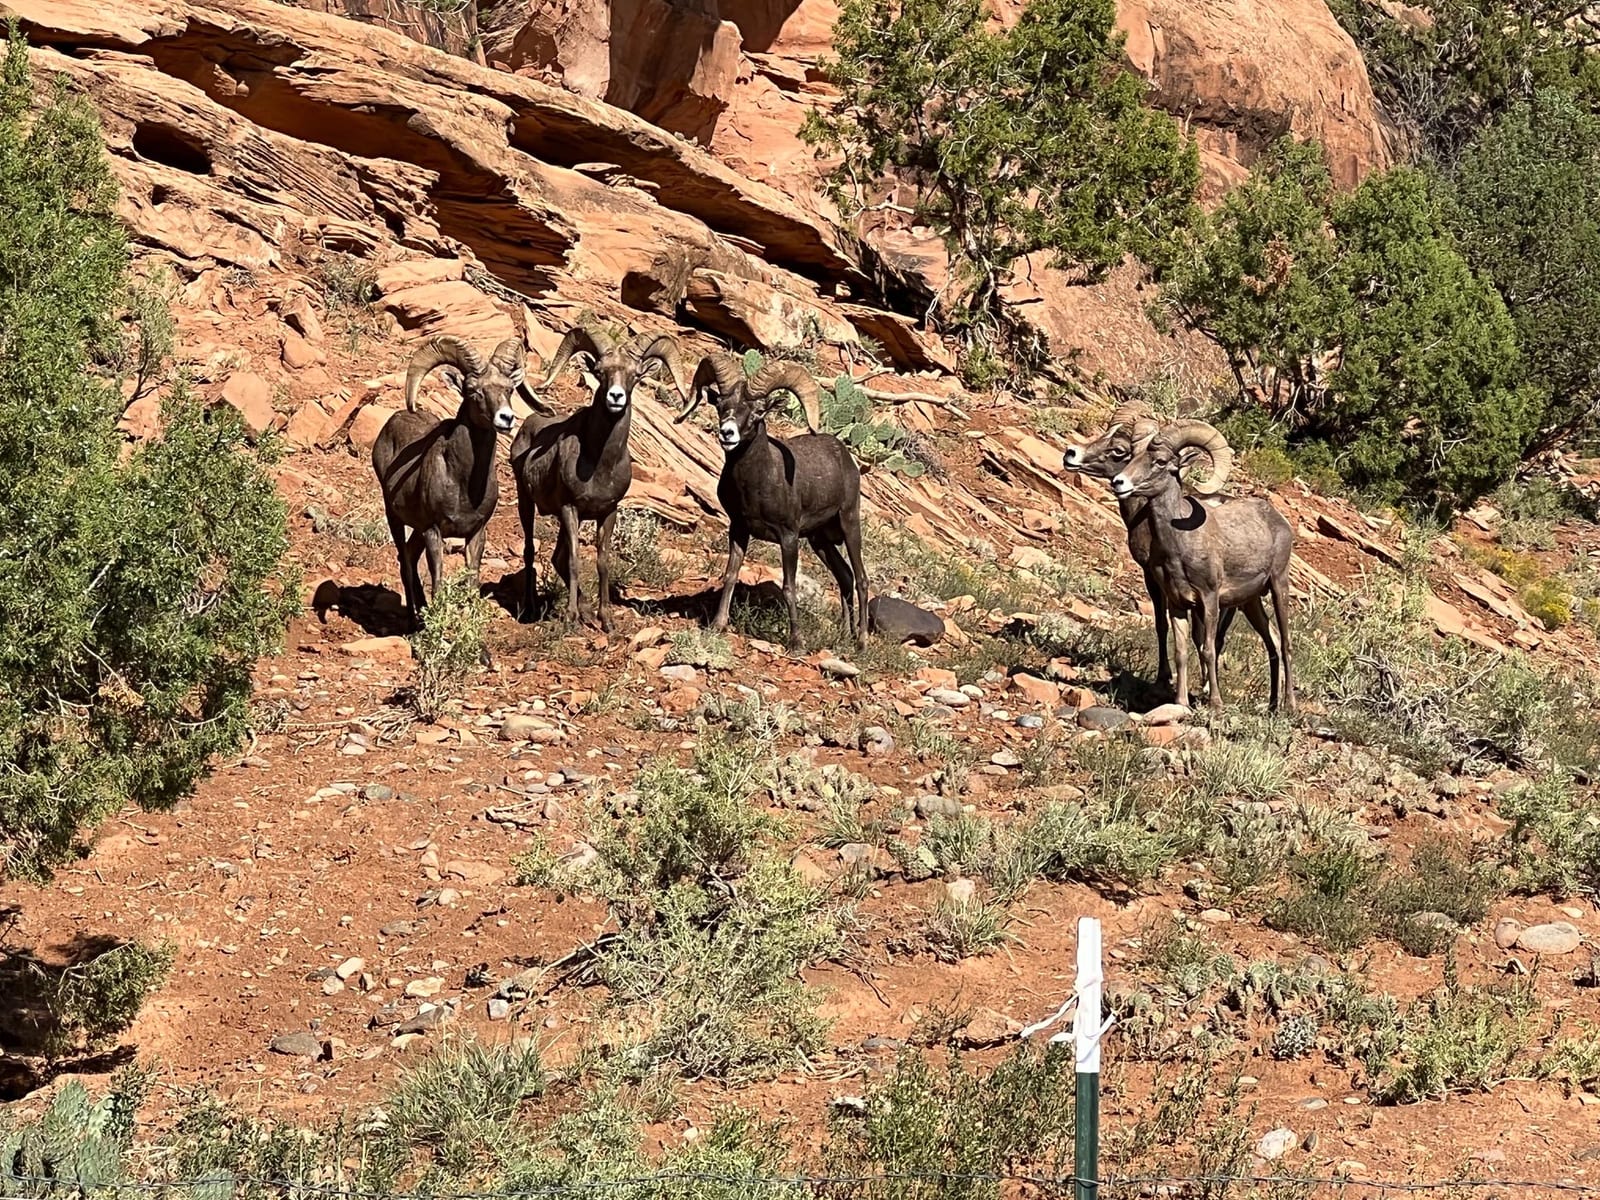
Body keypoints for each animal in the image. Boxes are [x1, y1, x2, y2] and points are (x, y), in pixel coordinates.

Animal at [372, 334, 532, 626]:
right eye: (474, 391)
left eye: (509, 389)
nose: (506, 418)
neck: (465, 486)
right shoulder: (434, 532)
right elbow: (438, 581)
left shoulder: (476, 533)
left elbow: (471, 582)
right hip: (395, 517)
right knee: (404, 559)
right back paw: (414, 621)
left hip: (417, 529)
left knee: (410, 555)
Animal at [510, 323, 686, 632]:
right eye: (601, 372)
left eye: (635, 374)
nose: (615, 397)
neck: (599, 465)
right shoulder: (570, 509)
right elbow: (574, 561)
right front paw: (570, 618)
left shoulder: (607, 512)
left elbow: (602, 563)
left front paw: (606, 619)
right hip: (526, 502)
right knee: (531, 550)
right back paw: (533, 608)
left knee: (555, 558)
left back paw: (587, 611)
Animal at [675, 353, 868, 651]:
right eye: (721, 406)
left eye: (758, 412)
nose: (727, 433)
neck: (756, 484)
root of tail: (845, 458)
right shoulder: (739, 529)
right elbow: (731, 575)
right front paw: (718, 625)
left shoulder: (788, 537)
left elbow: (789, 587)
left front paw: (797, 643)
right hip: (819, 540)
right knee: (845, 576)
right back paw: (844, 637)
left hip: (849, 524)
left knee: (861, 579)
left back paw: (861, 642)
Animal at [1110, 419, 1295, 713]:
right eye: (1132, 456)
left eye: (1160, 461)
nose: (1119, 483)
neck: (1180, 545)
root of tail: (1280, 521)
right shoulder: (1177, 604)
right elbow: (1181, 651)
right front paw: (1181, 702)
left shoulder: (1209, 600)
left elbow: (1208, 649)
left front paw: (1215, 704)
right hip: (1250, 603)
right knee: (1273, 643)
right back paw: (1271, 706)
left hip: (1278, 586)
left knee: (1286, 644)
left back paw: (1289, 705)